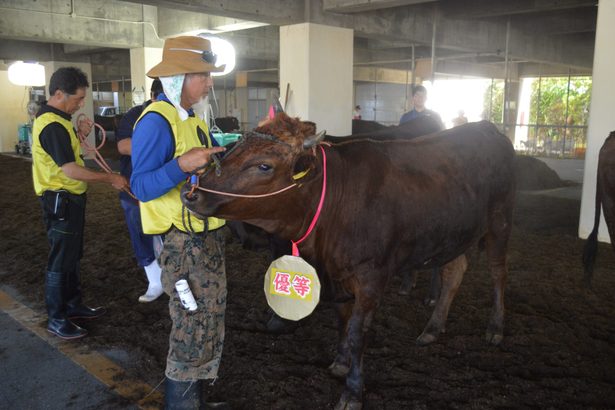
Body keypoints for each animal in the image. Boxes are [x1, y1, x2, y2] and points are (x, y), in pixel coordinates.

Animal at [182, 113, 516, 410]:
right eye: (234, 148)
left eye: (264, 165)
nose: (191, 192)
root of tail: (487, 128)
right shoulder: (337, 274)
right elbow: (342, 320)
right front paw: (340, 363)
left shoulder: (371, 277)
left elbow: (357, 332)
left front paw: (353, 391)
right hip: (454, 234)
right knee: (454, 272)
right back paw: (433, 328)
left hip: (500, 222)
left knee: (498, 274)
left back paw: (496, 327)